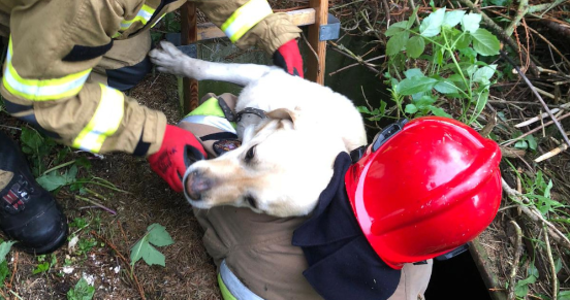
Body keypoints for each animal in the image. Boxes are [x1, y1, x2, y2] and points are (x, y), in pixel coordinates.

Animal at [149, 41, 366, 217]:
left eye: (252, 202)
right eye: (251, 153)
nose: (192, 186)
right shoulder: (265, 72)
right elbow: (205, 68)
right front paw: (172, 61)